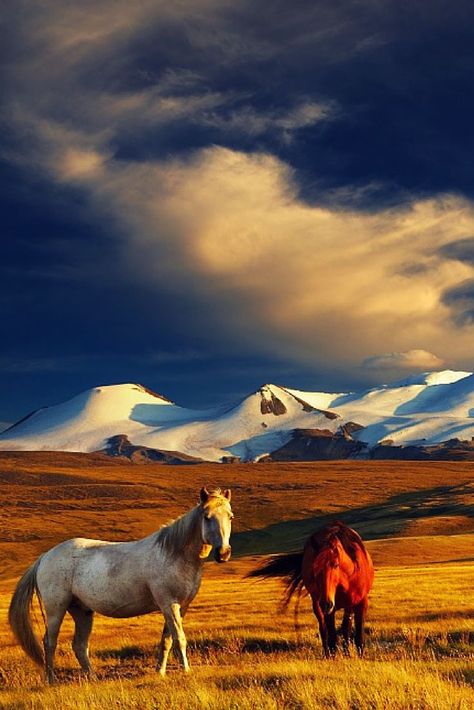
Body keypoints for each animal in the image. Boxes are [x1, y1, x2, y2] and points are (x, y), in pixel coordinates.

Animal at [8, 486, 233, 680]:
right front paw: (186, 671)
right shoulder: (169, 604)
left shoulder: (180, 606)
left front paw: (160, 672)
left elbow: (167, 640)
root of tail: (44, 556)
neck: (173, 554)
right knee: (50, 642)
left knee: (79, 645)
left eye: (230, 516)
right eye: (207, 517)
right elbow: (180, 638)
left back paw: (93, 677)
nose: (223, 553)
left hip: (82, 611)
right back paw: (51, 679)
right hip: (56, 609)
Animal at [248, 524, 374, 656]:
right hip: (317, 604)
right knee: (324, 630)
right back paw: (328, 654)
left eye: (336, 565)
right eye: (314, 568)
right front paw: (333, 657)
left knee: (345, 627)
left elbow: (358, 637)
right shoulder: (330, 610)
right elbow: (332, 637)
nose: (326, 604)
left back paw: (346, 653)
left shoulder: (361, 603)